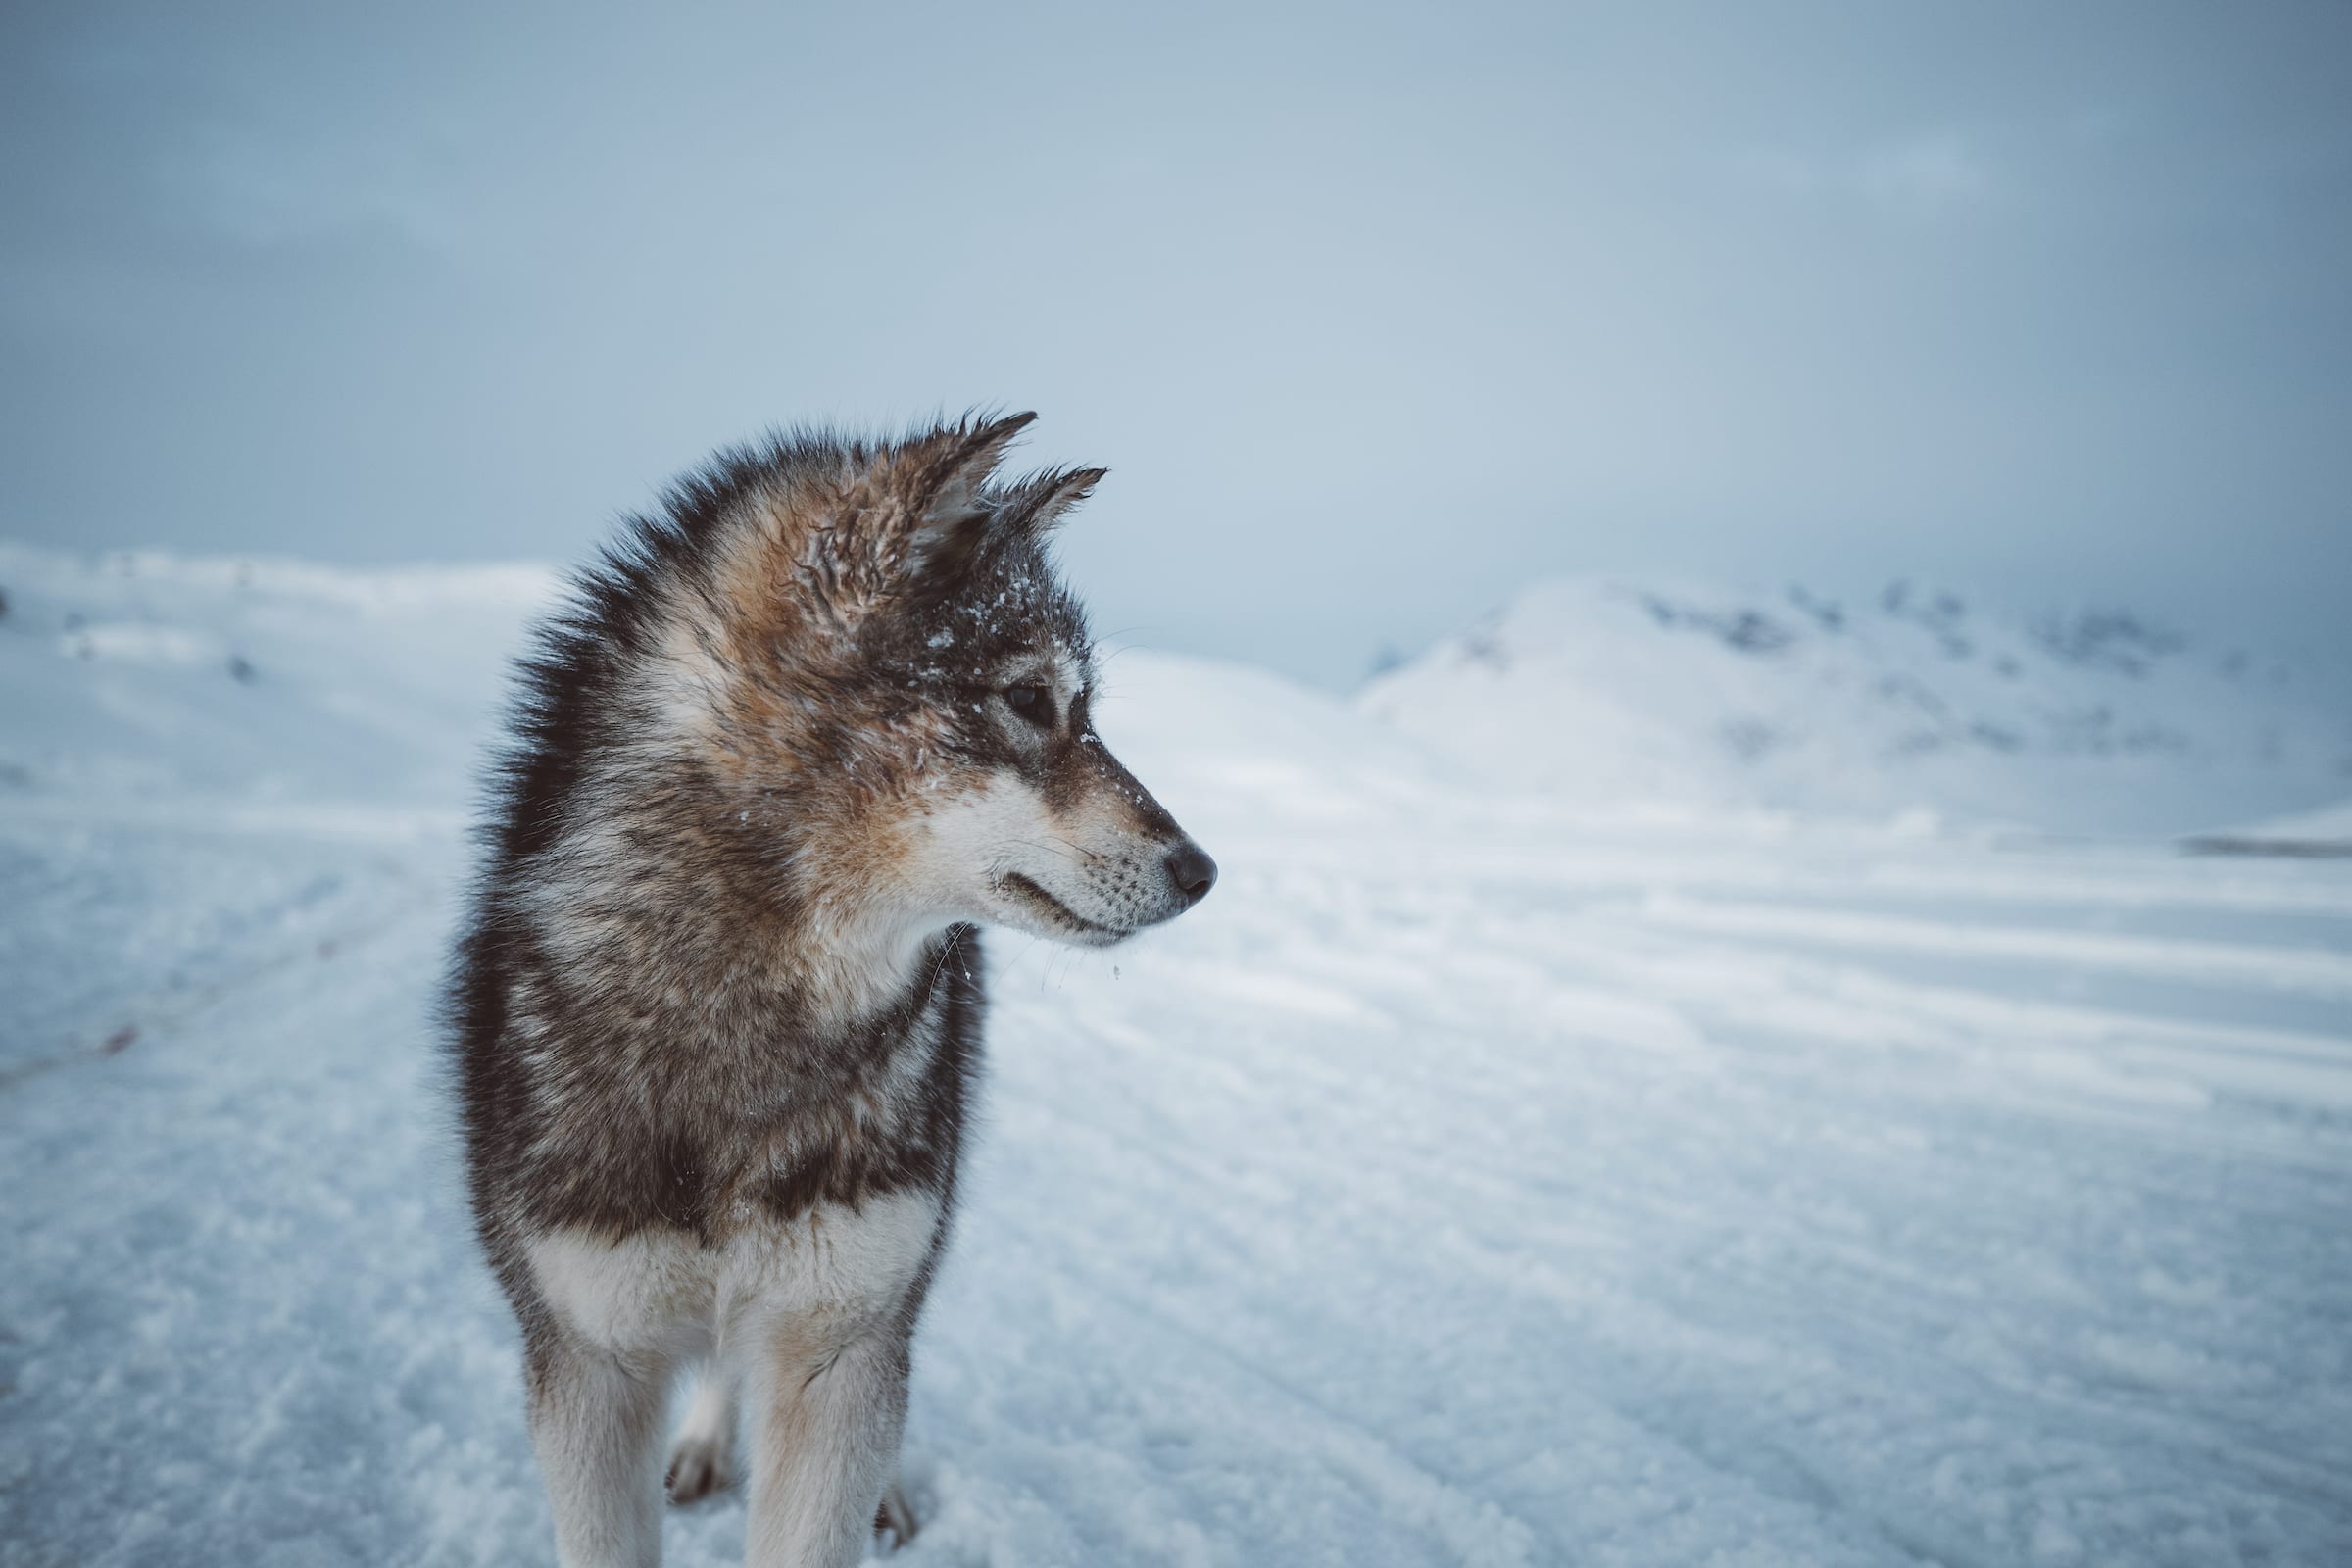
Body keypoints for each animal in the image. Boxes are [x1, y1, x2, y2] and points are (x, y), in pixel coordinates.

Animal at [444, 416, 1213, 1568]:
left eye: (1084, 710)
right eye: (1031, 700)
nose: (1203, 871)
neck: (748, 1029)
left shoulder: (841, 1341)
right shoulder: (587, 1363)